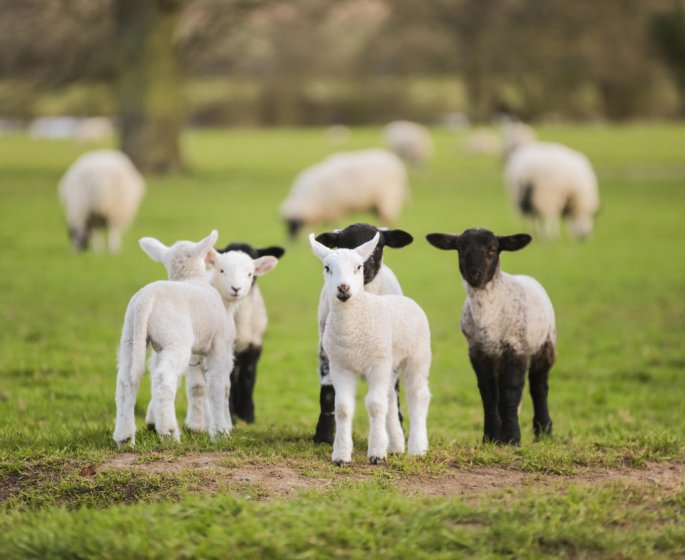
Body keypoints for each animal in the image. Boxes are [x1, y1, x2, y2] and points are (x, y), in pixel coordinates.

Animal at [278, 149, 406, 238]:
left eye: (295, 224)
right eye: (286, 224)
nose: (290, 240)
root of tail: (392, 159)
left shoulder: (334, 209)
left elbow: (334, 223)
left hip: (388, 198)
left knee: (386, 218)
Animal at [308, 231, 430, 464]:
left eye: (358, 267)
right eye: (327, 268)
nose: (343, 288)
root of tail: (408, 300)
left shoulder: (377, 364)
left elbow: (375, 406)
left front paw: (376, 454)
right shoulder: (341, 366)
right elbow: (343, 409)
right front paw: (341, 456)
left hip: (417, 356)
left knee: (417, 395)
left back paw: (417, 447)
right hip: (390, 364)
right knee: (391, 397)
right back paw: (396, 445)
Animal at [428, 229, 556, 446]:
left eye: (493, 250)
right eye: (460, 249)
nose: (474, 274)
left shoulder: (516, 349)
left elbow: (511, 392)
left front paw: (512, 438)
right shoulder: (478, 352)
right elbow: (488, 394)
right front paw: (490, 438)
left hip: (545, 344)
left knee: (539, 386)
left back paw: (543, 431)